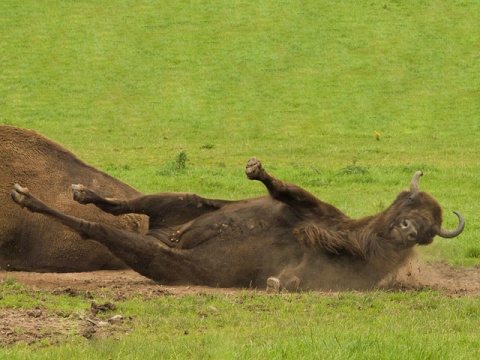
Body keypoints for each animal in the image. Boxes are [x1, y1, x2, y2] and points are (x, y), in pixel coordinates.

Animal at [9, 154, 464, 290]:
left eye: (428, 231)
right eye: (410, 202)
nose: (409, 231)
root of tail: (167, 238)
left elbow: (294, 275)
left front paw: (278, 282)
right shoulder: (311, 211)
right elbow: (285, 191)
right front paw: (255, 169)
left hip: (158, 257)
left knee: (98, 227)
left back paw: (27, 197)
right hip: (180, 202)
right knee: (125, 207)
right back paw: (81, 192)